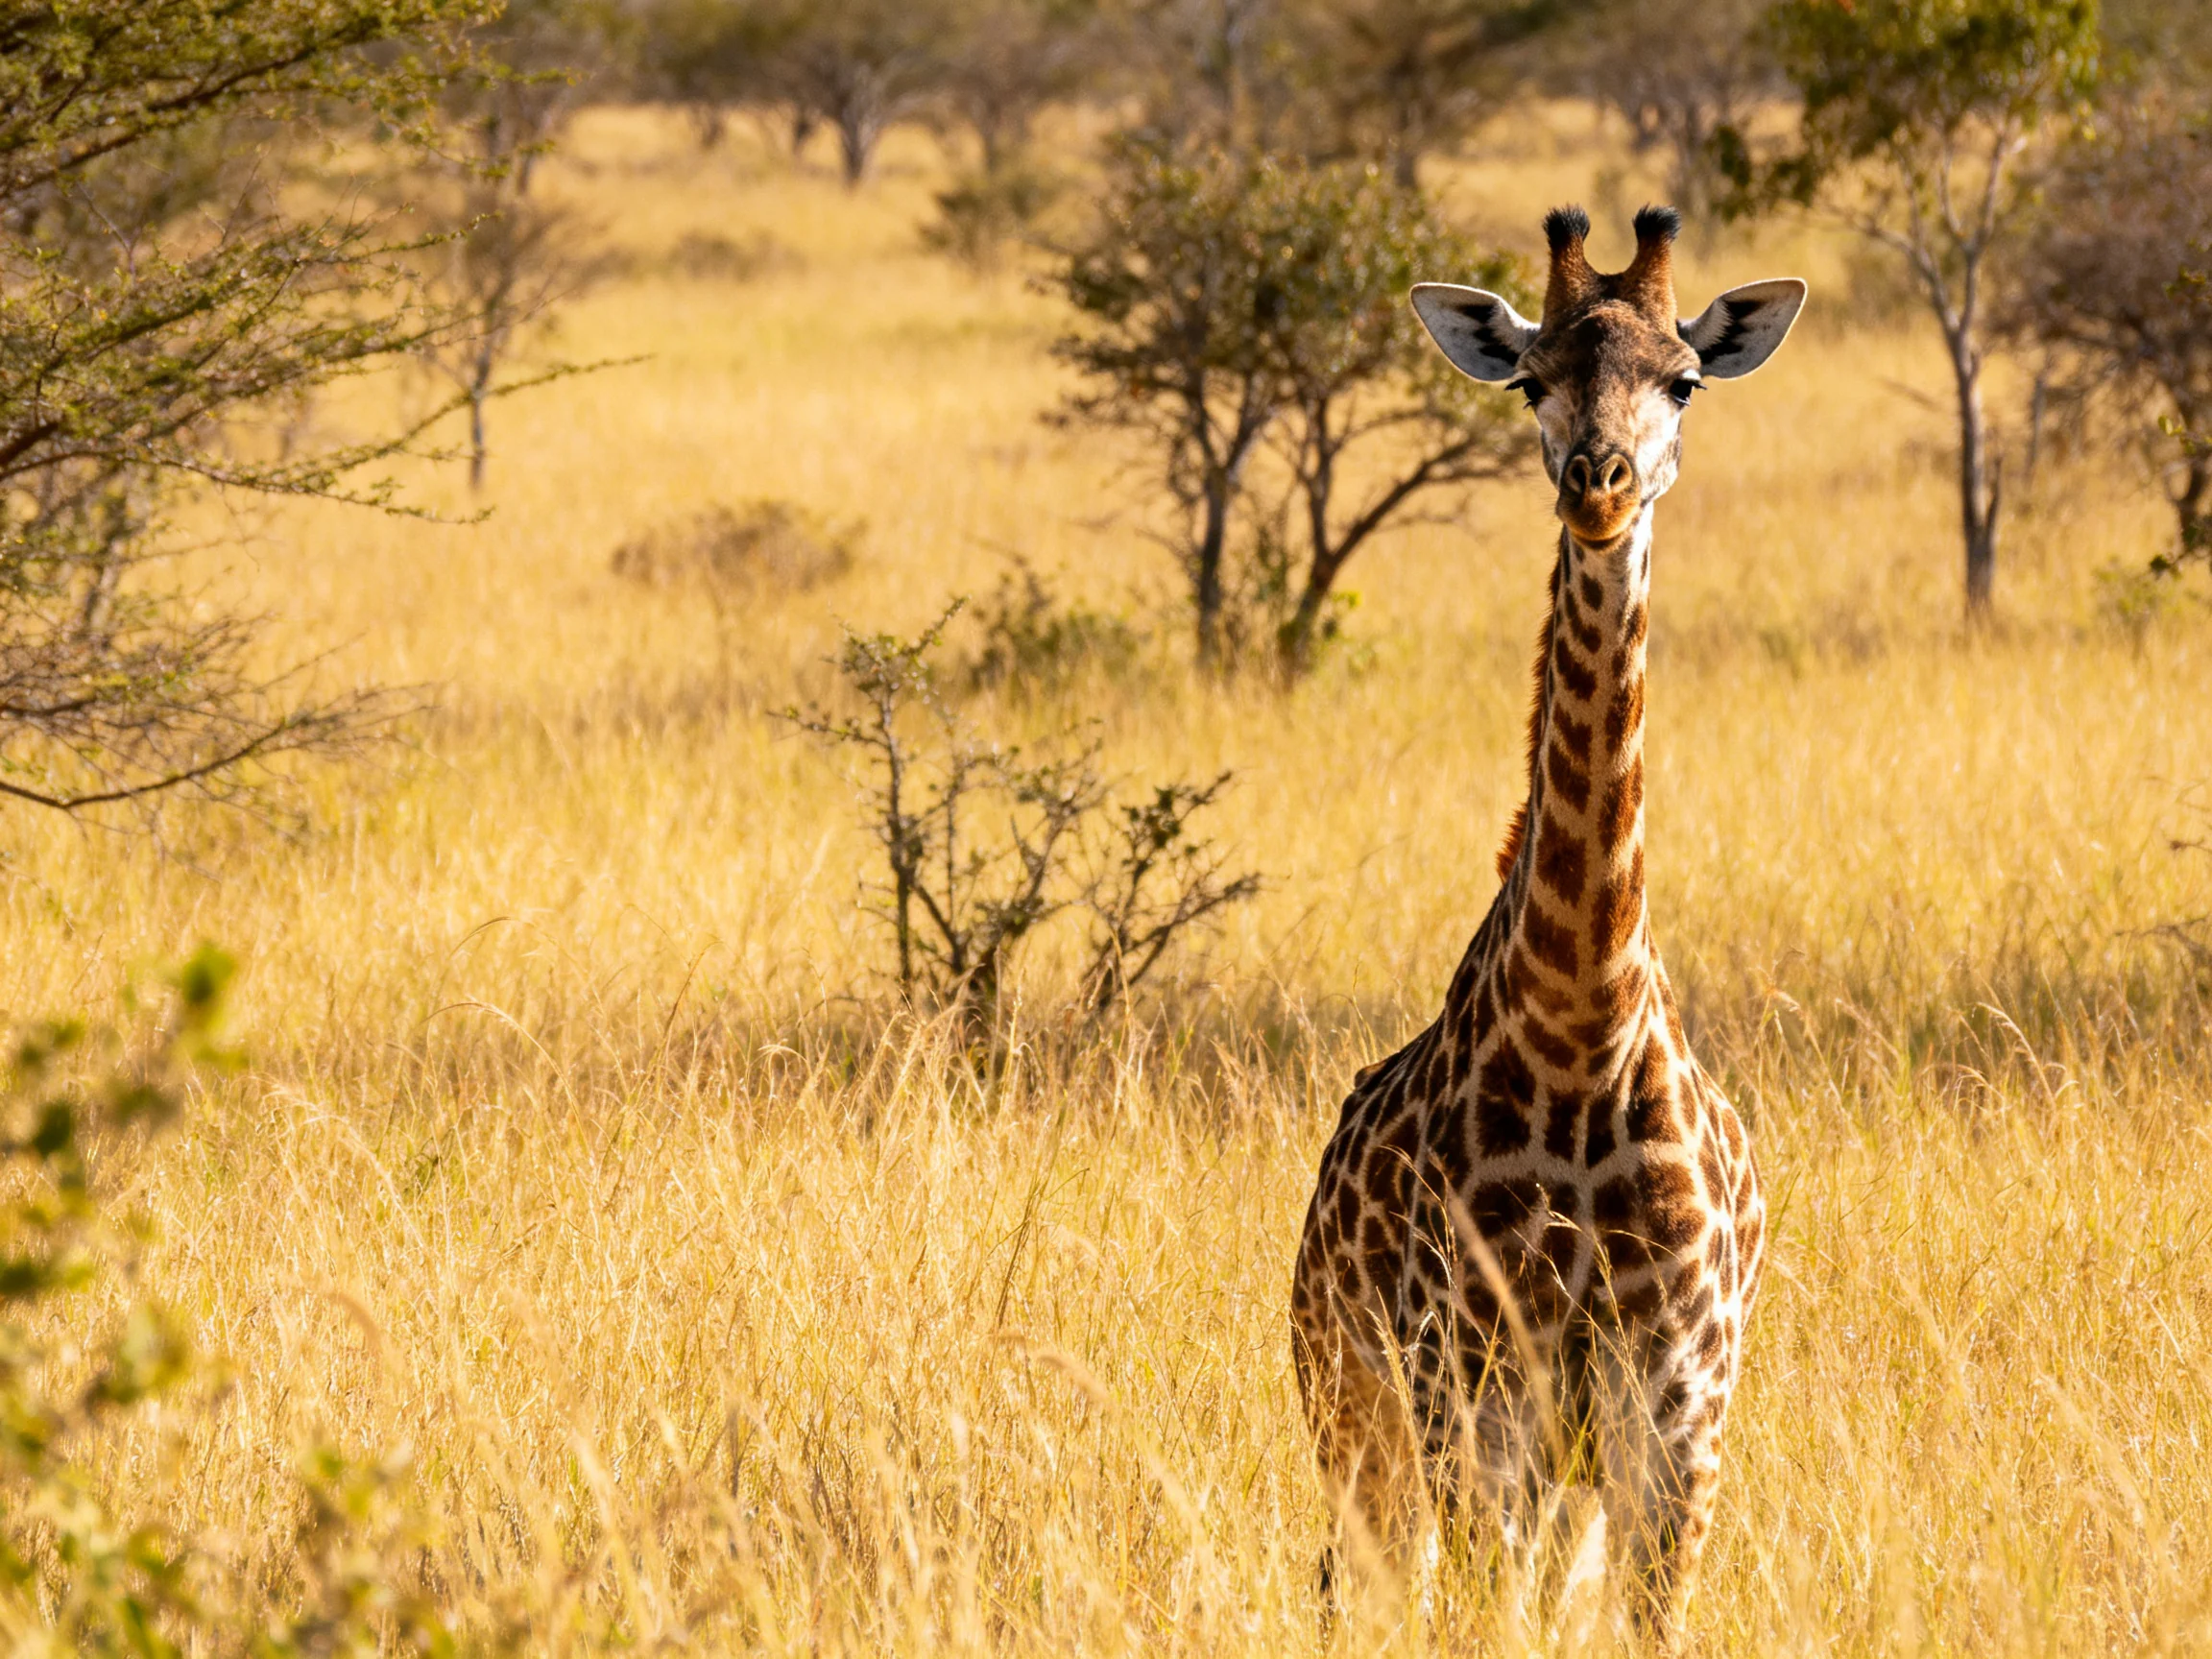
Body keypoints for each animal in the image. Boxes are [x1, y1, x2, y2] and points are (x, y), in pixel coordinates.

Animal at [1289, 203, 1806, 1646]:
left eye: (1683, 379)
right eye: (1531, 379)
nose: (1601, 479)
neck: (1583, 1018)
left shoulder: (1677, 1419)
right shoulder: (1474, 1397)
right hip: (1358, 1413)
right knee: (1359, 1587)